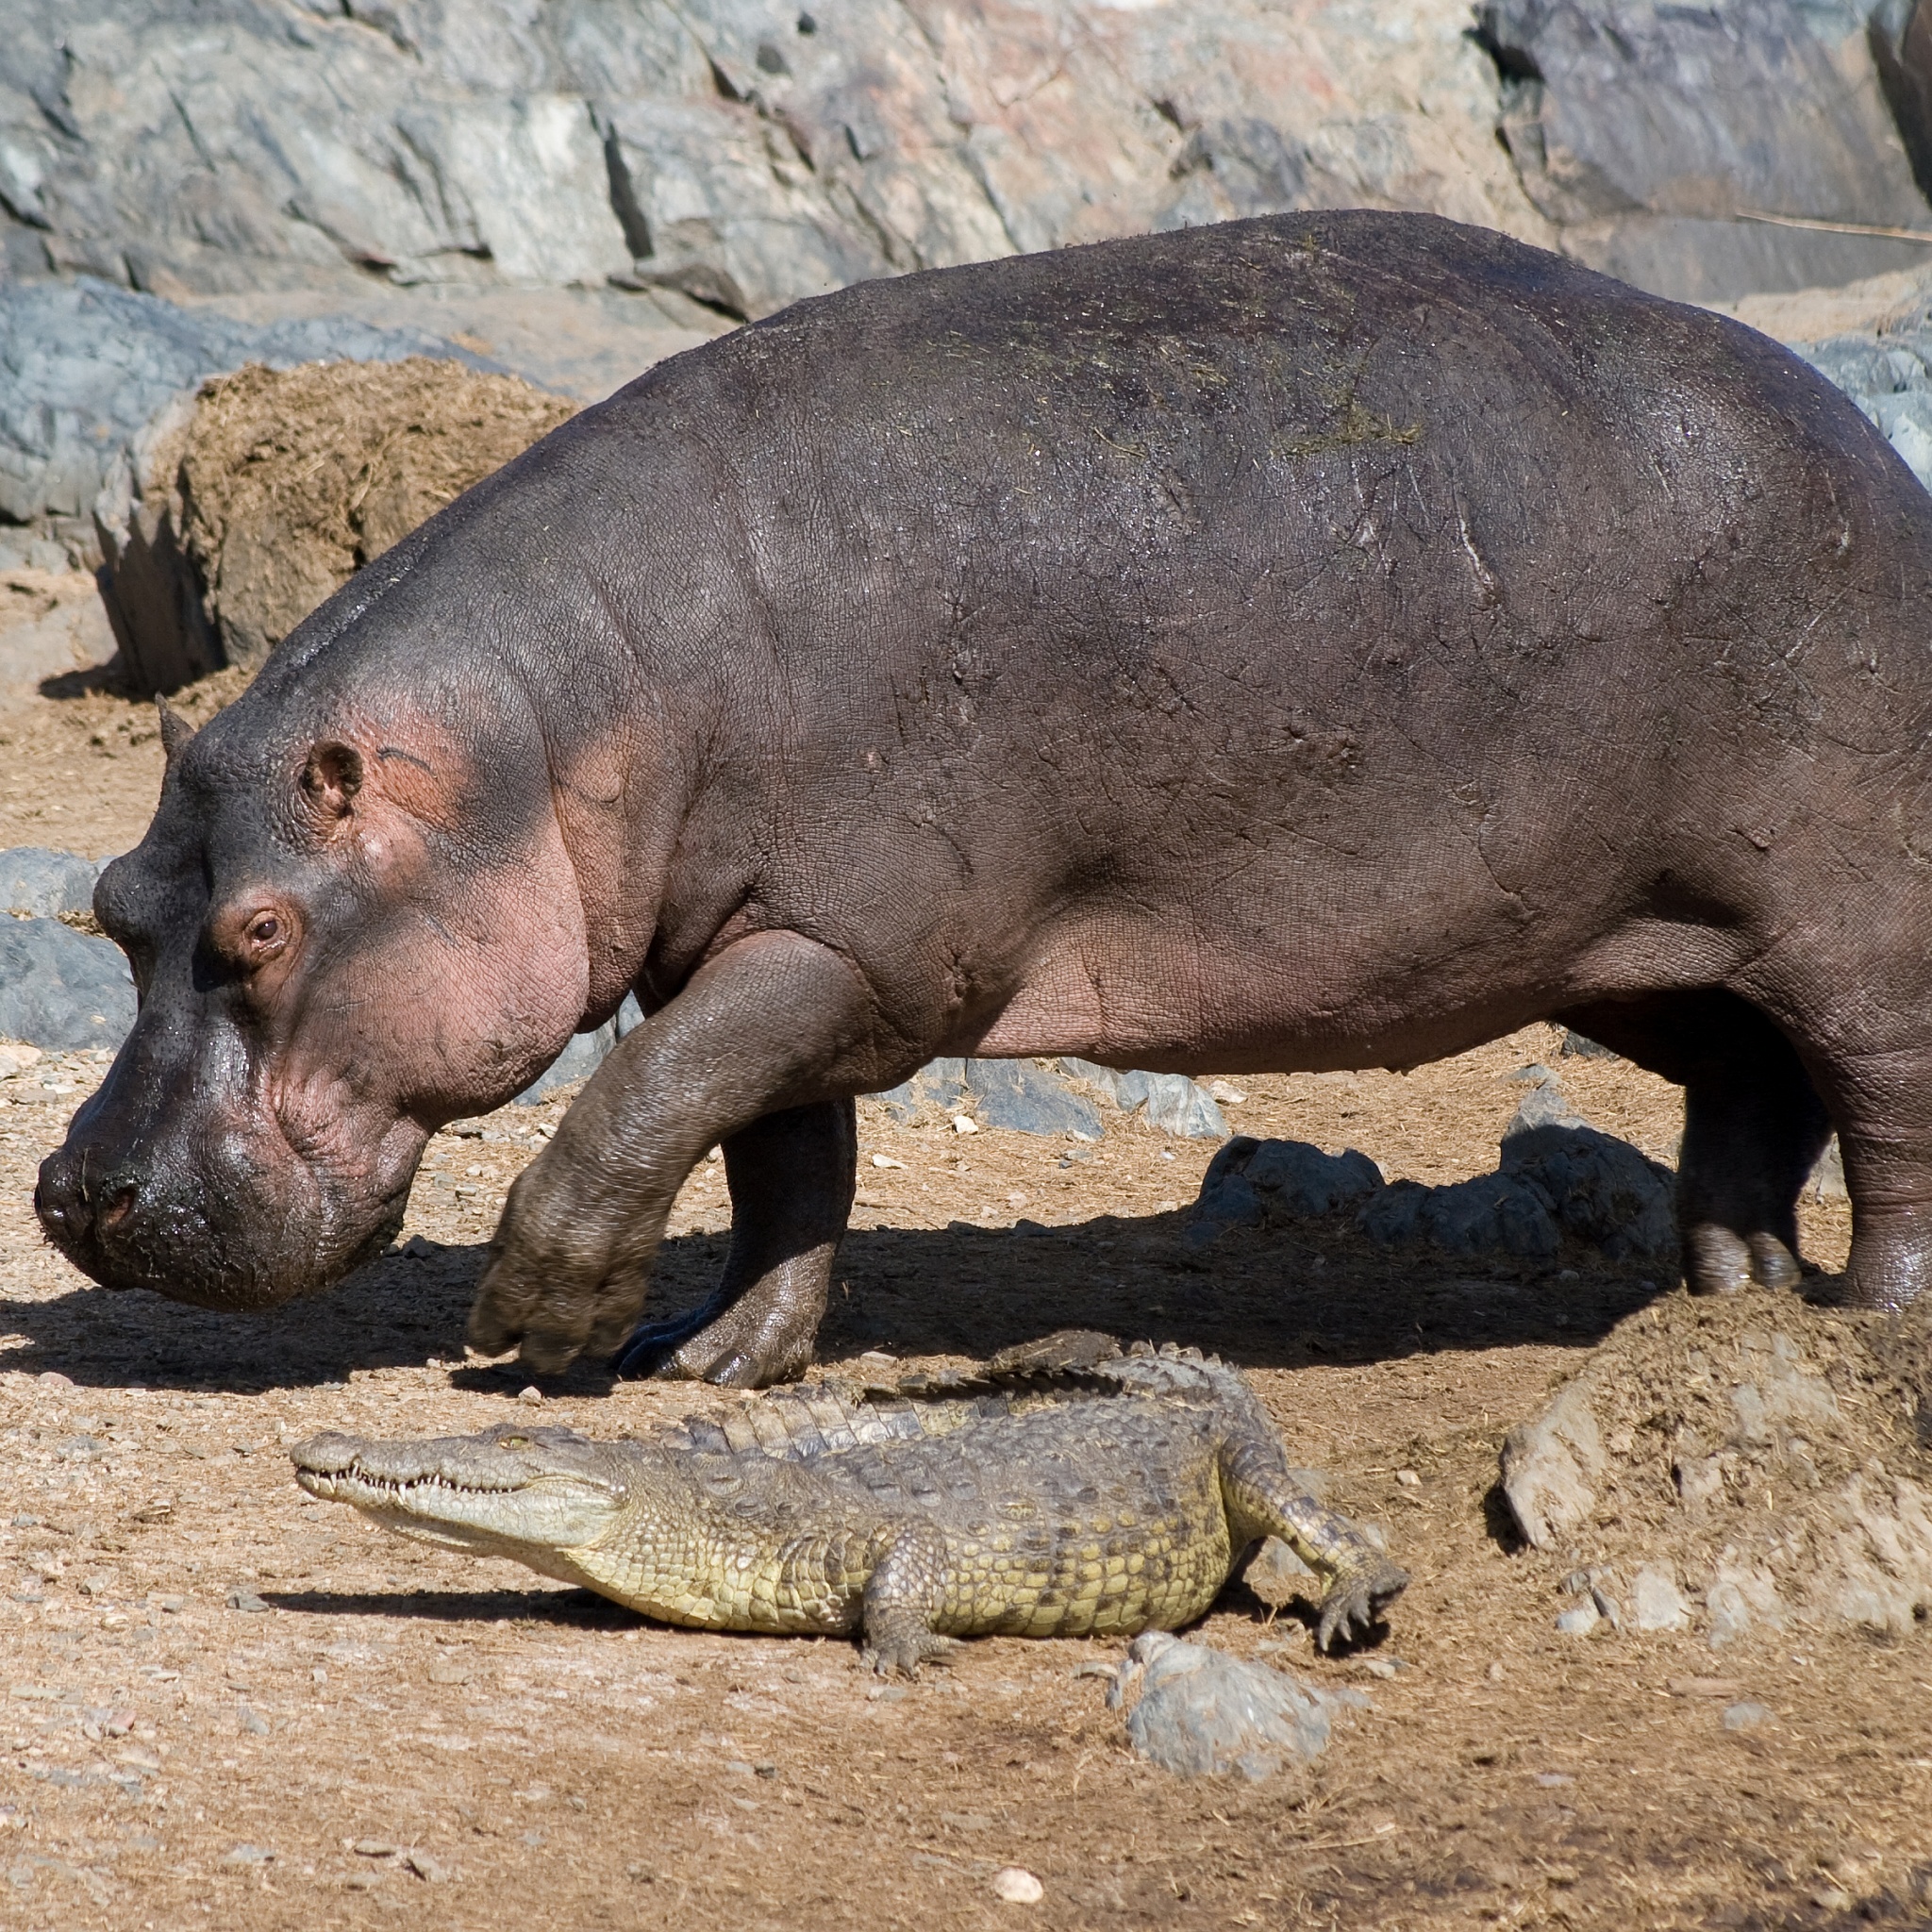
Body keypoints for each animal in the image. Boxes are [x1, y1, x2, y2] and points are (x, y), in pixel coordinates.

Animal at [26, 208, 1932, 1391]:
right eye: (114, 906)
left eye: (262, 929)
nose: (71, 1196)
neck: (549, 728)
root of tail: (1869, 451)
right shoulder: (753, 939)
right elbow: (770, 1156)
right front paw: (706, 1358)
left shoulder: (853, 948)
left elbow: (643, 1107)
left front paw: (540, 1324)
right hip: (1635, 942)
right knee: (1756, 1084)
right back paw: (1733, 1301)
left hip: (1851, 922)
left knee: (1888, 1108)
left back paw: (1862, 1322)